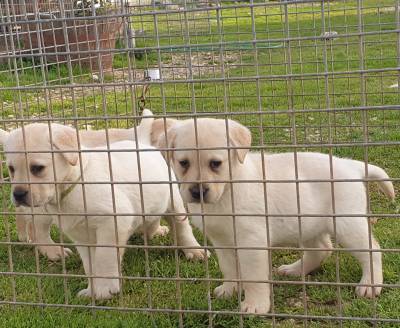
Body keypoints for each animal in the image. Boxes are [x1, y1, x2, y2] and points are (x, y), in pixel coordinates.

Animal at [3, 113, 208, 300]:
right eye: (11, 169)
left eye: (37, 168)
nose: (18, 194)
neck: (76, 182)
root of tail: (141, 142)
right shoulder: (82, 236)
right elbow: (90, 265)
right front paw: (93, 290)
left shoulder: (113, 223)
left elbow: (104, 257)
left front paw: (104, 288)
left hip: (172, 200)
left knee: (180, 227)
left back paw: (193, 250)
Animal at [155, 119, 394, 314]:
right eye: (183, 163)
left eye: (215, 163)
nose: (197, 192)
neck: (227, 191)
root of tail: (350, 164)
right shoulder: (222, 241)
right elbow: (229, 267)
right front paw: (230, 289)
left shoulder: (252, 243)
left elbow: (253, 277)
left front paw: (255, 305)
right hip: (307, 223)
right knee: (322, 249)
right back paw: (295, 269)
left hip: (347, 224)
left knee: (372, 251)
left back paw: (370, 285)